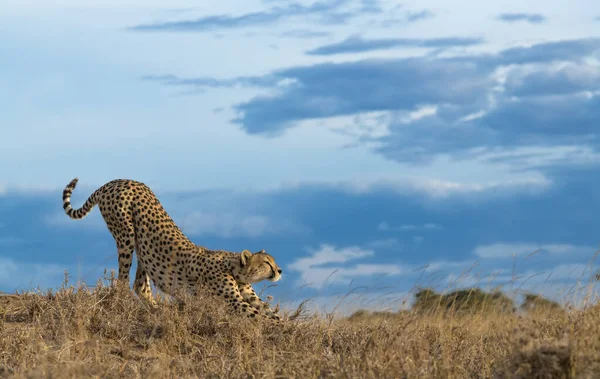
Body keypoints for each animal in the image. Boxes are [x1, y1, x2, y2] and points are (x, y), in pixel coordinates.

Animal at [62, 178, 282, 320]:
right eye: (267, 262)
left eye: (273, 261)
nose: (279, 270)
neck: (235, 268)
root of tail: (116, 181)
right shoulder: (234, 300)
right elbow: (259, 316)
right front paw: (276, 330)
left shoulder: (248, 295)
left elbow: (268, 310)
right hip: (126, 236)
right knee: (123, 281)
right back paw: (125, 303)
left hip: (144, 246)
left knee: (140, 285)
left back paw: (157, 310)